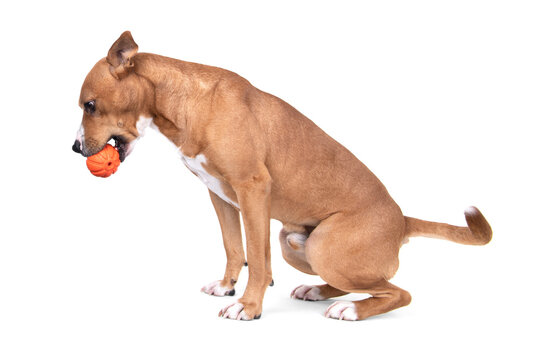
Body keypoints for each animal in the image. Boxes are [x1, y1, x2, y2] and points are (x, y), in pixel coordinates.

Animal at [73, 32, 494, 320]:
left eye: (89, 105)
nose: (75, 148)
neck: (185, 103)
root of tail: (402, 220)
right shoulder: (220, 197)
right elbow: (235, 249)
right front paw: (227, 287)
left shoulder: (252, 191)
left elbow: (258, 261)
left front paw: (249, 306)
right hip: (294, 241)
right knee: (353, 285)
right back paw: (317, 291)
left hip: (324, 245)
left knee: (397, 293)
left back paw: (351, 311)